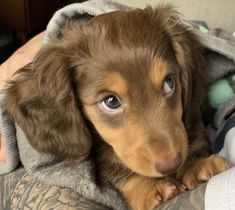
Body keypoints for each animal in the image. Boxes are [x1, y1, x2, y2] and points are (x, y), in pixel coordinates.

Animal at [3, 4, 229, 210]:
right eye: (111, 102)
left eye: (169, 83)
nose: (171, 163)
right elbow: (111, 166)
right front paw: (148, 188)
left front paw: (196, 164)